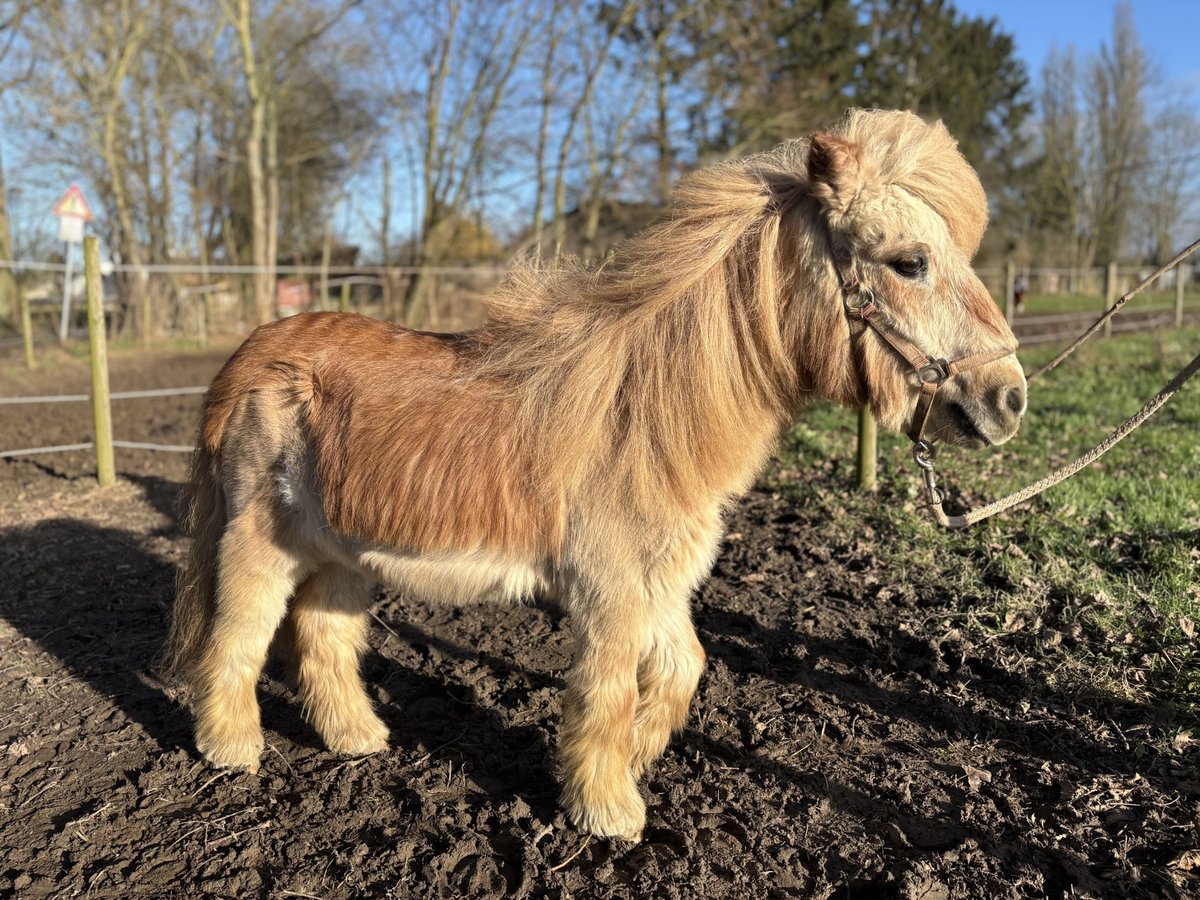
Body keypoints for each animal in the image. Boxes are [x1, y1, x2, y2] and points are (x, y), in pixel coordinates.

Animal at [164, 109, 1022, 844]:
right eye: (910, 262)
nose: (1008, 397)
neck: (646, 415)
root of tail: (249, 357)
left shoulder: (662, 582)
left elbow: (680, 671)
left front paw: (632, 761)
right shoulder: (609, 589)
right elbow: (608, 689)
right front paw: (607, 810)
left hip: (344, 549)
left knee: (321, 635)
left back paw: (358, 738)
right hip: (258, 540)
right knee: (238, 633)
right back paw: (231, 748)